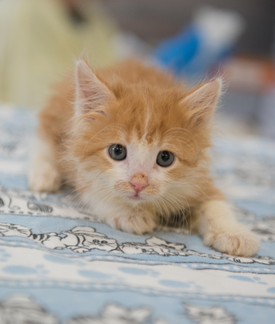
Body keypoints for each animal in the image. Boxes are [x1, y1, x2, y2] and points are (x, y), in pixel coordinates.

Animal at [29, 58, 260, 256]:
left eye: (165, 158)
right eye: (117, 151)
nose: (138, 183)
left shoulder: (199, 179)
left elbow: (216, 205)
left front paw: (234, 234)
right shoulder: (81, 167)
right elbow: (96, 193)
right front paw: (129, 214)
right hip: (55, 119)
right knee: (42, 143)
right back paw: (43, 175)